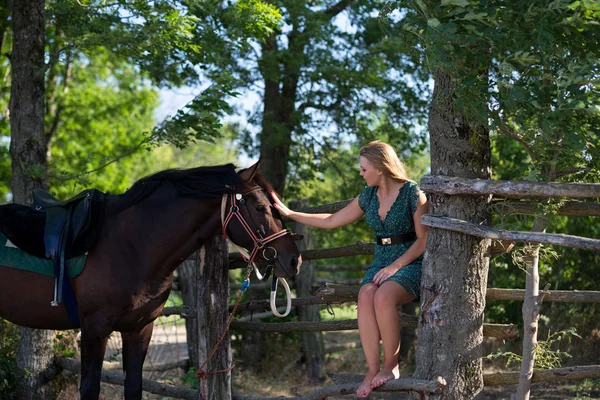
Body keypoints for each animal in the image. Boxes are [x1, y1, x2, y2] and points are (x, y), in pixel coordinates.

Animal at [0, 161, 300, 398]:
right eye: (261, 207)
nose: (293, 260)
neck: (130, 244)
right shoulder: (95, 328)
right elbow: (90, 388)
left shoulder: (139, 329)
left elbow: (134, 386)